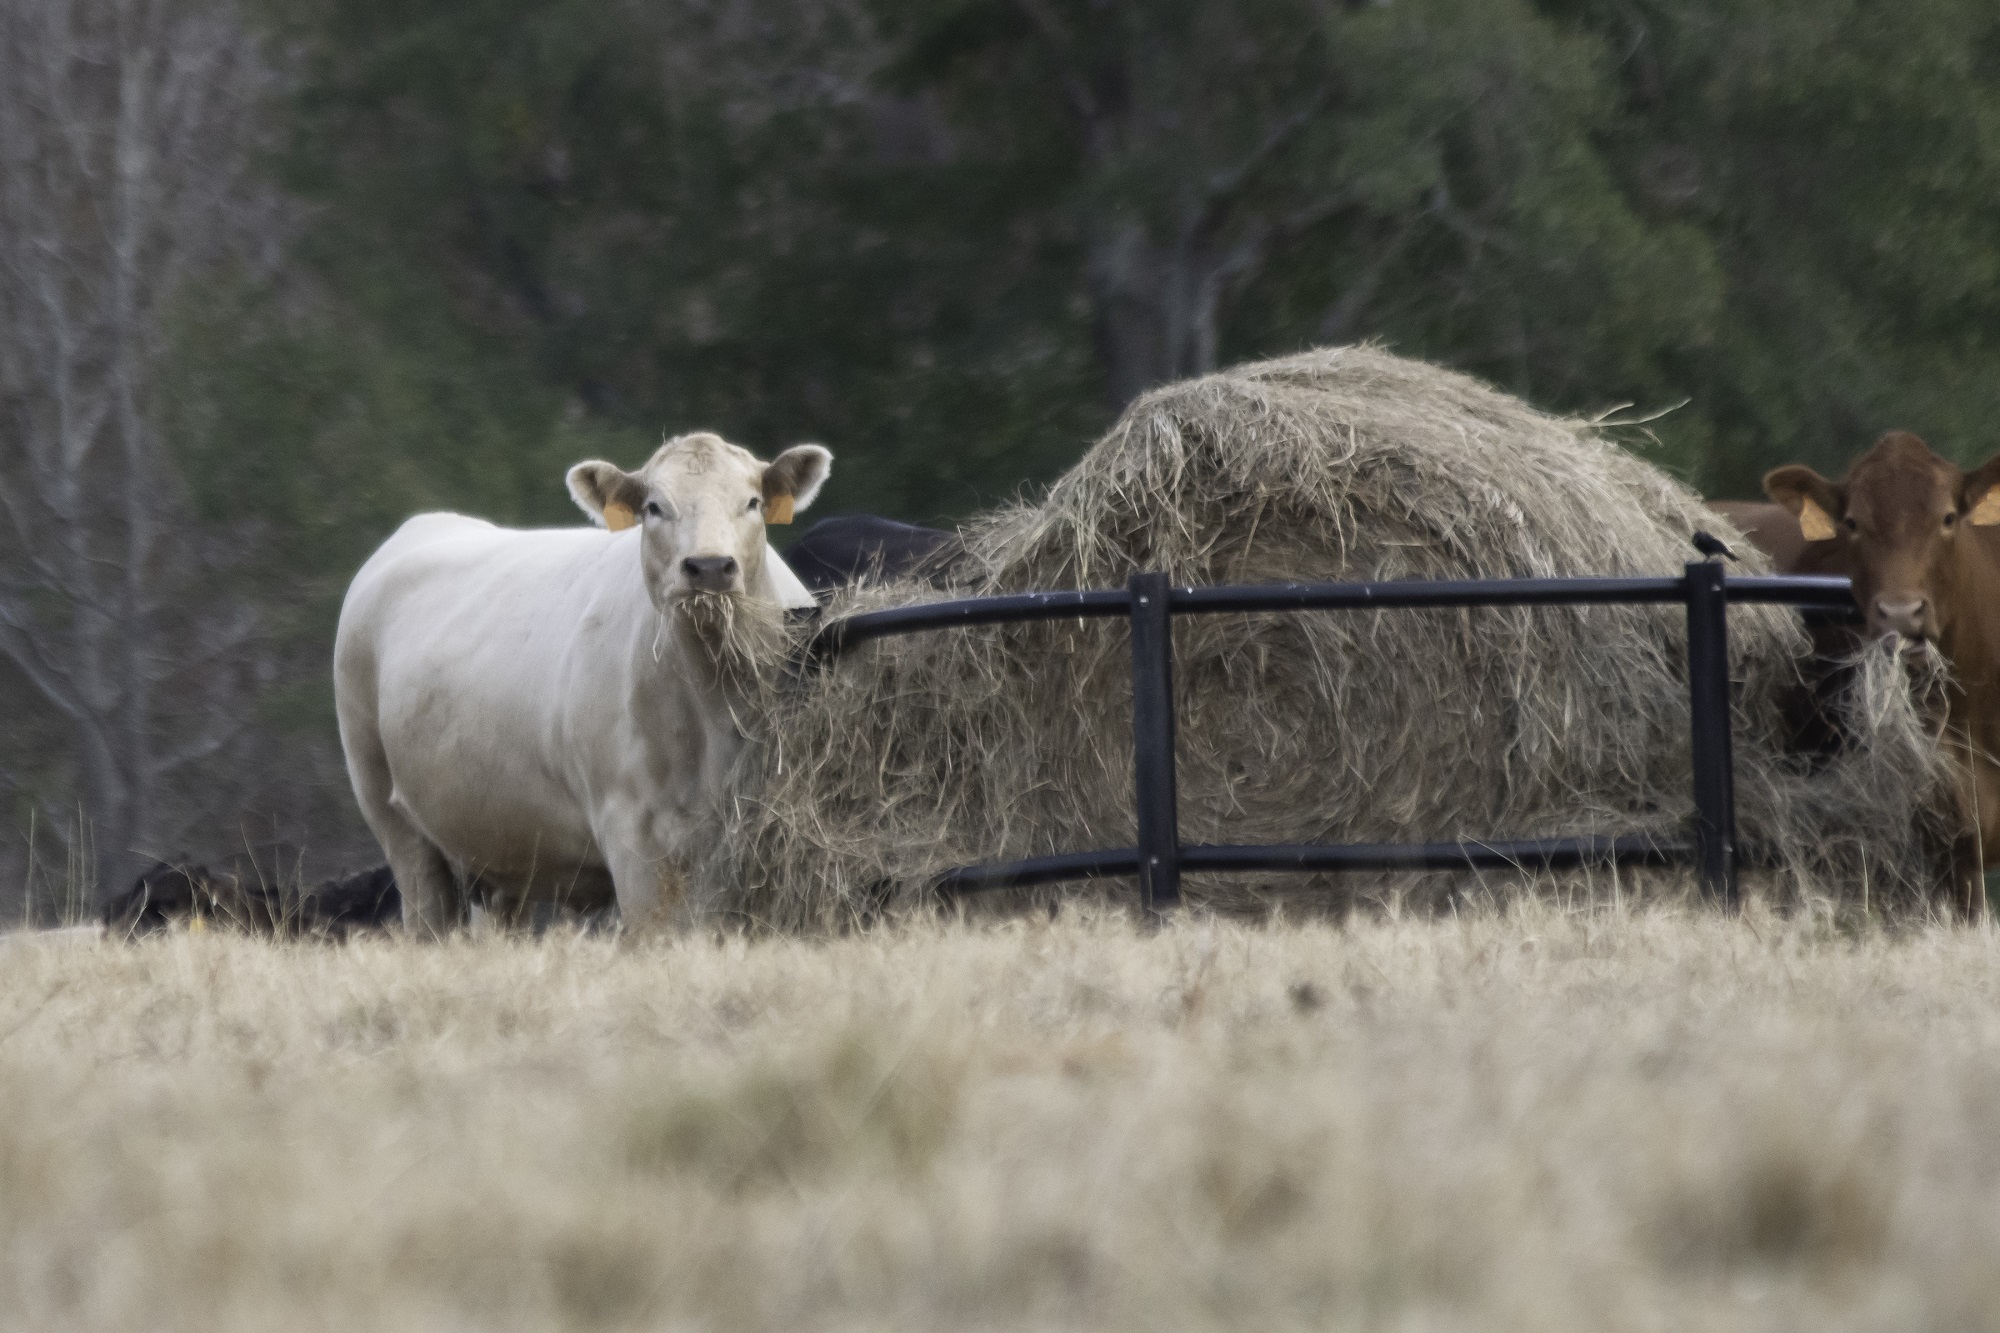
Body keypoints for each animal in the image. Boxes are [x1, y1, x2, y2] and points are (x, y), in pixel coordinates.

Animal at [334, 430, 828, 928]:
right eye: (654, 507)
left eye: (752, 502)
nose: (709, 567)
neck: (711, 709)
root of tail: (427, 524)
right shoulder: (631, 835)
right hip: (391, 816)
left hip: (500, 850)